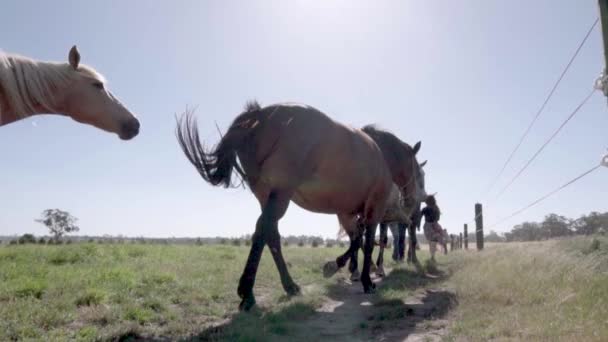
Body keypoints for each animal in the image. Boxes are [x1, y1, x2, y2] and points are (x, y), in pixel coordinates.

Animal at [173, 100, 426, 312]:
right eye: (419, 173)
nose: (413, 202)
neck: (379, 154)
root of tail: (260, 115)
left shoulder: (346, 213)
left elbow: (358, 241)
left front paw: (336, 266)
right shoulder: (373, 209)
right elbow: (368, 242)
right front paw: (364, 279)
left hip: (267, 196)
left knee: (271, 235)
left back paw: (289, 286)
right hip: (280, 195)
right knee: (263, 231)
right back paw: (248, 294)